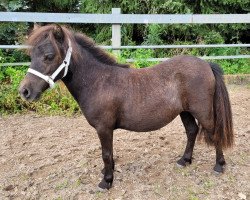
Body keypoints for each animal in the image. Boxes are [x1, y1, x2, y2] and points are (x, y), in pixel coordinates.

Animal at [18, 24, 233, 190]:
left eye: (48, 55)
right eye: (31, 55)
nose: (24, 91)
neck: (98, 81)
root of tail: (206, 64)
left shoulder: (104, 128)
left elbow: (106, 154)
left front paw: (106, 182)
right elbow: (108, 154)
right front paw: (107, 173)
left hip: (202, 112)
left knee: (213, 133)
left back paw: (219, 166)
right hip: (185, 112)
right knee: (191, 131)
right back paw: (184, 161)